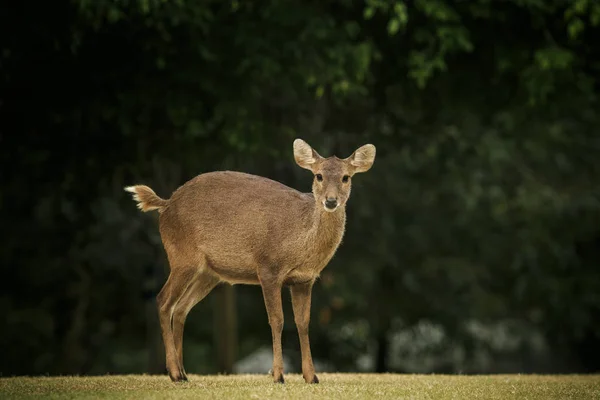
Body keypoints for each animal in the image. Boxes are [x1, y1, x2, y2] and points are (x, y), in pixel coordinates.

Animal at [124, 139, 376, 382]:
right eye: (319, 175)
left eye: (346, 177)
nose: (331, 201)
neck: (299, 240)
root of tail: (165, 204)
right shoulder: (268, 267)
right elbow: (277, 319)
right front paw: (278, 375)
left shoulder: (304, 279)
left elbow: (303, 323)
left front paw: (311, 377)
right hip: (182, 257)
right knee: (163, 301)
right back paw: (174, 373)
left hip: (208, 273)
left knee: (181, 308)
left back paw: (184, 373)